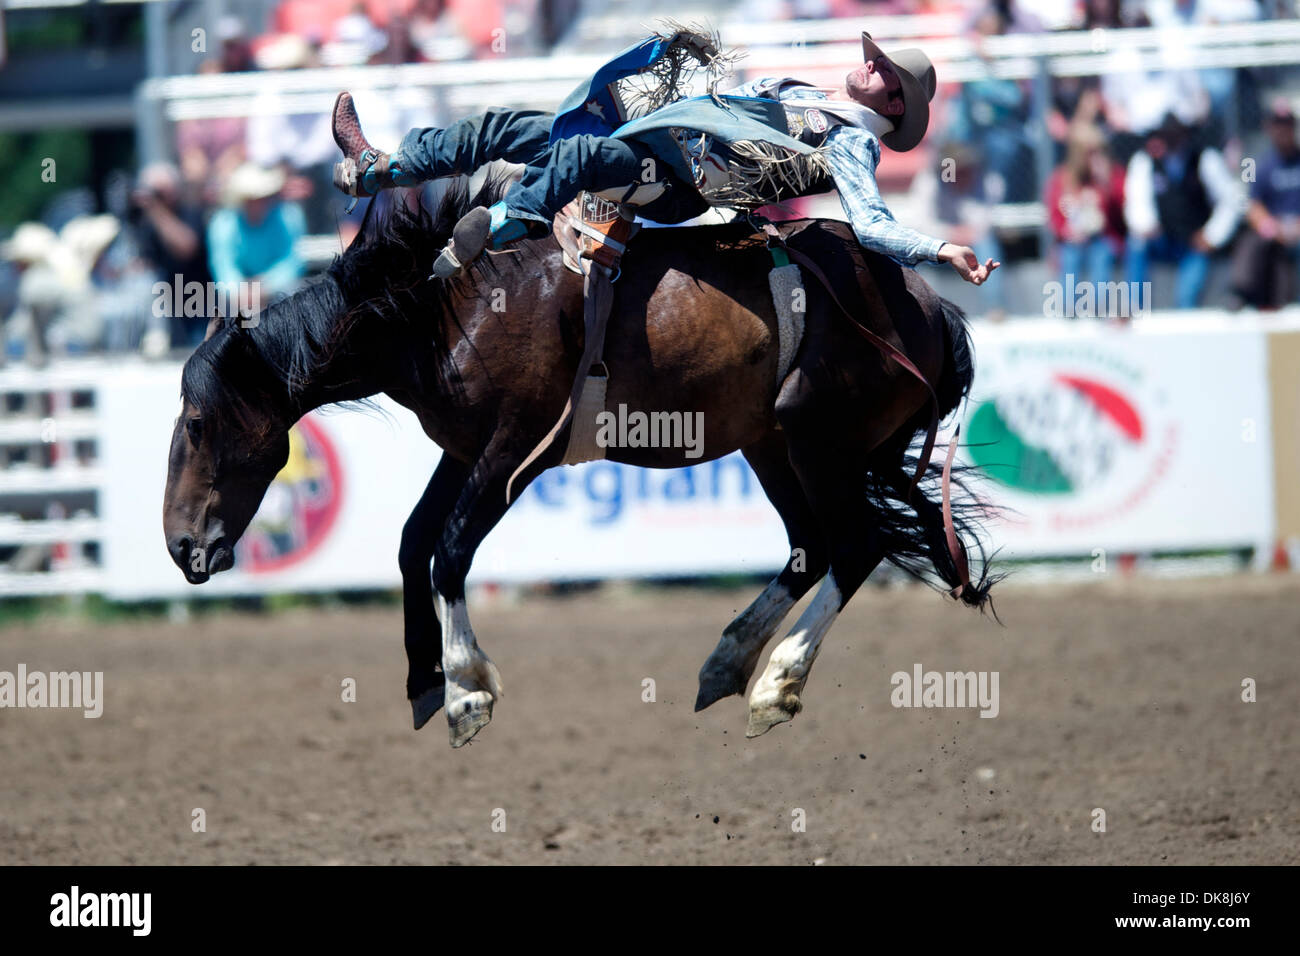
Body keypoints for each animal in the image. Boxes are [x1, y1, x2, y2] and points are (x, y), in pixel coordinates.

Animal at [162, 178, 993, 749]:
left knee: (855, 546)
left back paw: (776, 686)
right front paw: (425, 680)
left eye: (198, 423)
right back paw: (727, 663)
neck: (443, 304)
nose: (181, 545)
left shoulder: (516, 449)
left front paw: (467, 693)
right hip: (773, 444)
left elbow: (449, 551)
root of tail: (929, 305)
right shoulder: (462, 450)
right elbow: (413, 543)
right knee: (811, 546)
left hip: (817, 436)